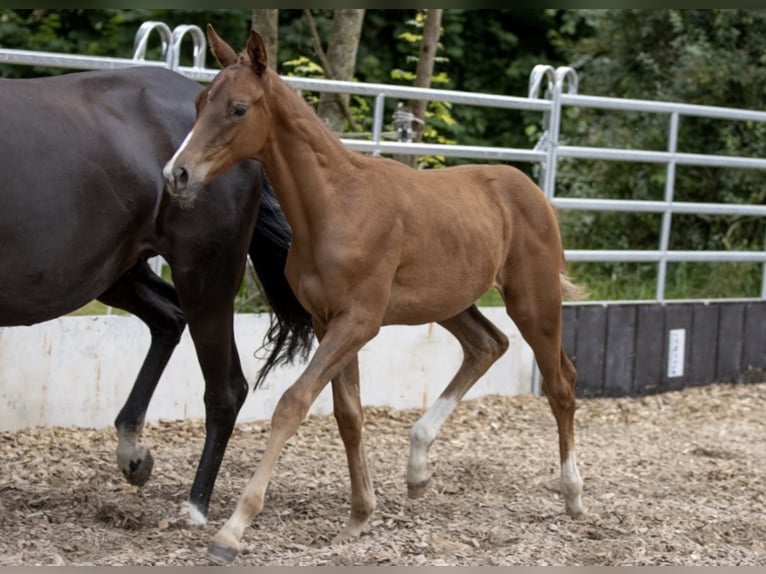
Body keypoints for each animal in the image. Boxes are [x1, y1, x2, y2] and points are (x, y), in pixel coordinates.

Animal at [166, 27, 588, 568]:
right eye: (201, 102)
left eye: (238, 108)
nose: (177, 175)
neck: (335, 205)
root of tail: (534, 193)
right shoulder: (328, 321)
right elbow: (348, 414)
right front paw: (359, 516)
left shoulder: (358, 322)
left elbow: (293, 402)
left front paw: (231, 532)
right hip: (451, 304)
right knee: (488, 345)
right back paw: (417, 468)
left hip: (533, 300)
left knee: (560, 382)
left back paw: (573, 494)